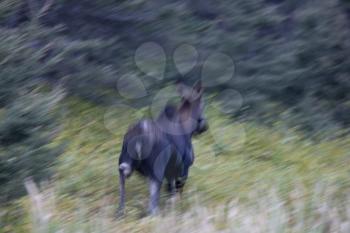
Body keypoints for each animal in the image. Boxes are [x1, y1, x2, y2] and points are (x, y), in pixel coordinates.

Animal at [117, 80, 208, 215]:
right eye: (203, 105)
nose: (205, 126)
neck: (188, 129)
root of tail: (138, 137)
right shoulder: (184, 168)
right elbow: (177, 194)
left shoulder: (171, 172)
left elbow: (170, 192)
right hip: (156, 172)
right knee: (152, 207)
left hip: (124, 163)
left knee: (122, 181)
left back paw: (120, 212)